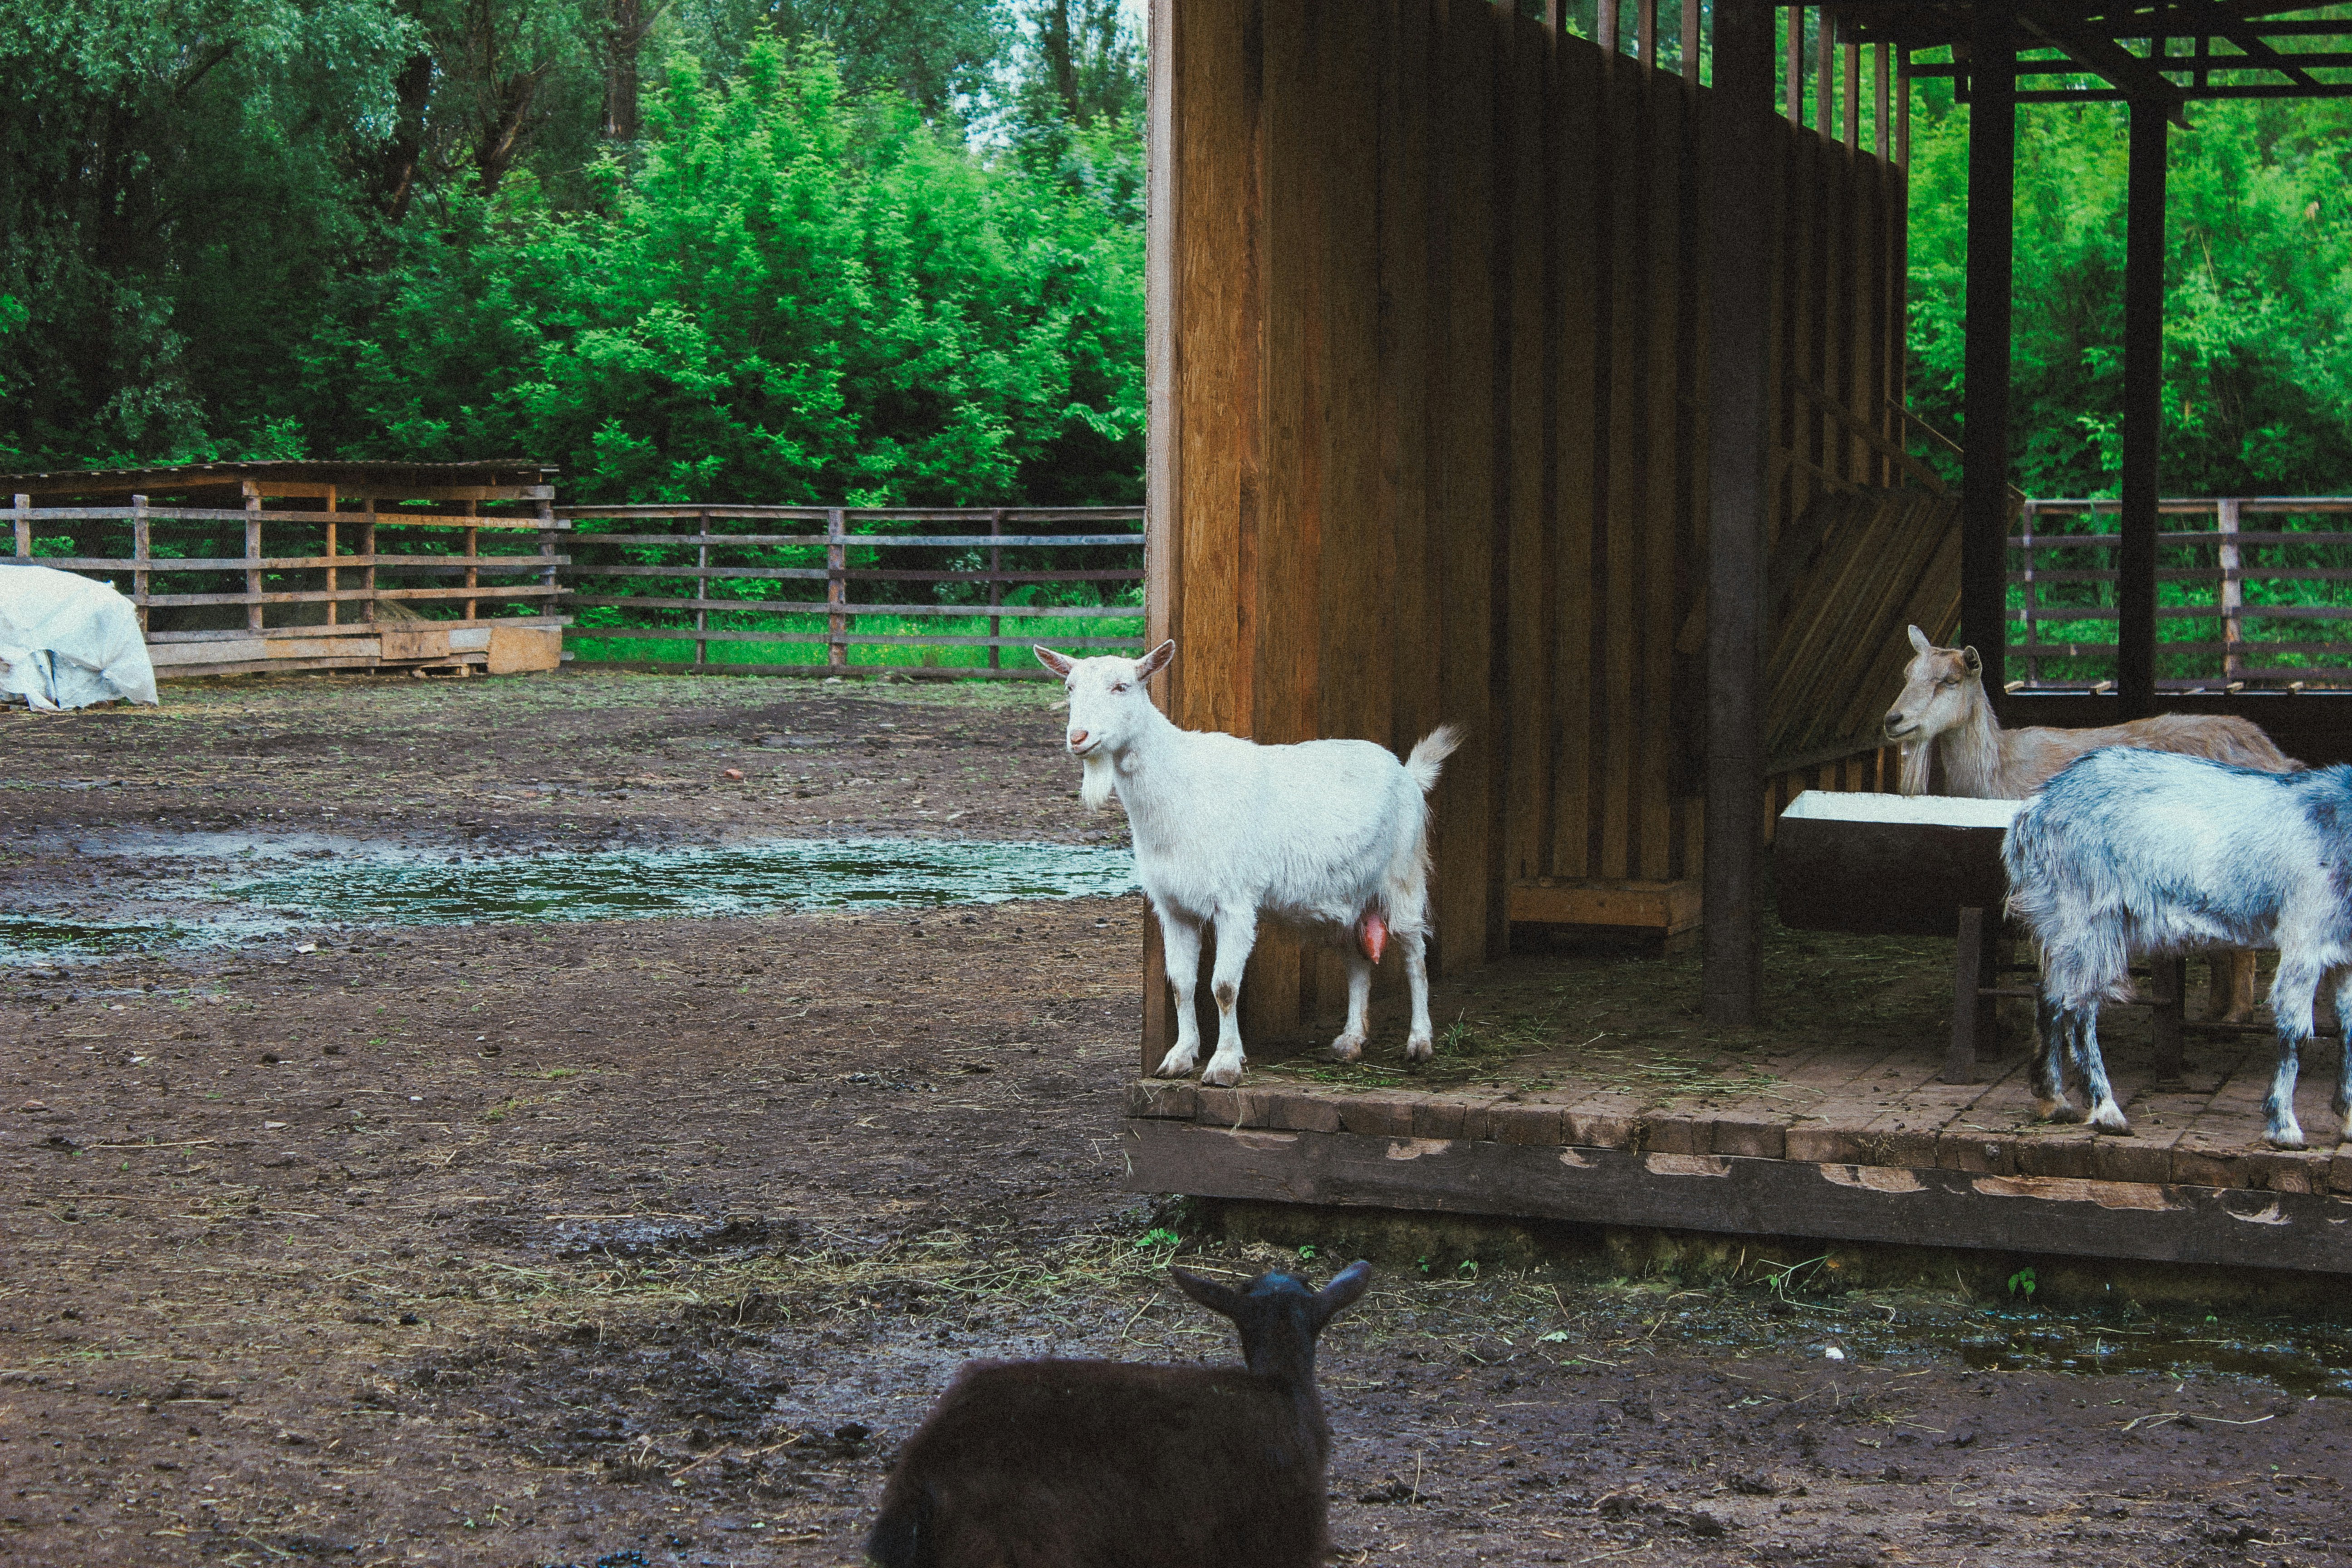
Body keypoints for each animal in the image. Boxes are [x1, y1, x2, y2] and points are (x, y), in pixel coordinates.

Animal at [1037, 640, 1460, 1086]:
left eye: (1122, 686)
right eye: (1069, 687)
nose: (1078, 737)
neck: (1180, 786)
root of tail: (1409, 774)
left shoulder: (1235, 902)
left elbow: (1224, 986)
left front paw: (1224, 1064)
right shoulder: (1173, 907)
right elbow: (1181, 984)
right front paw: (1180, 1057)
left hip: (1404, 874)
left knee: (1415, 956)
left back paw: (1420, 1043)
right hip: (1346, 896)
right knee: (1357, 961)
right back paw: (1349, 1042)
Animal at [1885, 623, 2299, 1021]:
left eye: (1950, 680)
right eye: (1907, 674)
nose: (1893, 720)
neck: (1998, 767)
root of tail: (2275, 755)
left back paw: (2236, 1016)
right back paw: (2216, 1011)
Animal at [2003, 747, 2352, 1149]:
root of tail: (2035, 809)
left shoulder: (2346, 952)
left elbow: (2348, 1027)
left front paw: (2347, 1119)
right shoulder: (2305, 936)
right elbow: (2296, 1029)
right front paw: (2285, 1127)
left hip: (2063, 920)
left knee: (2050, 994)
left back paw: (2054, 1101)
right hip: (2090, 914)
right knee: (2079, 1006)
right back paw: (2107, 1111)